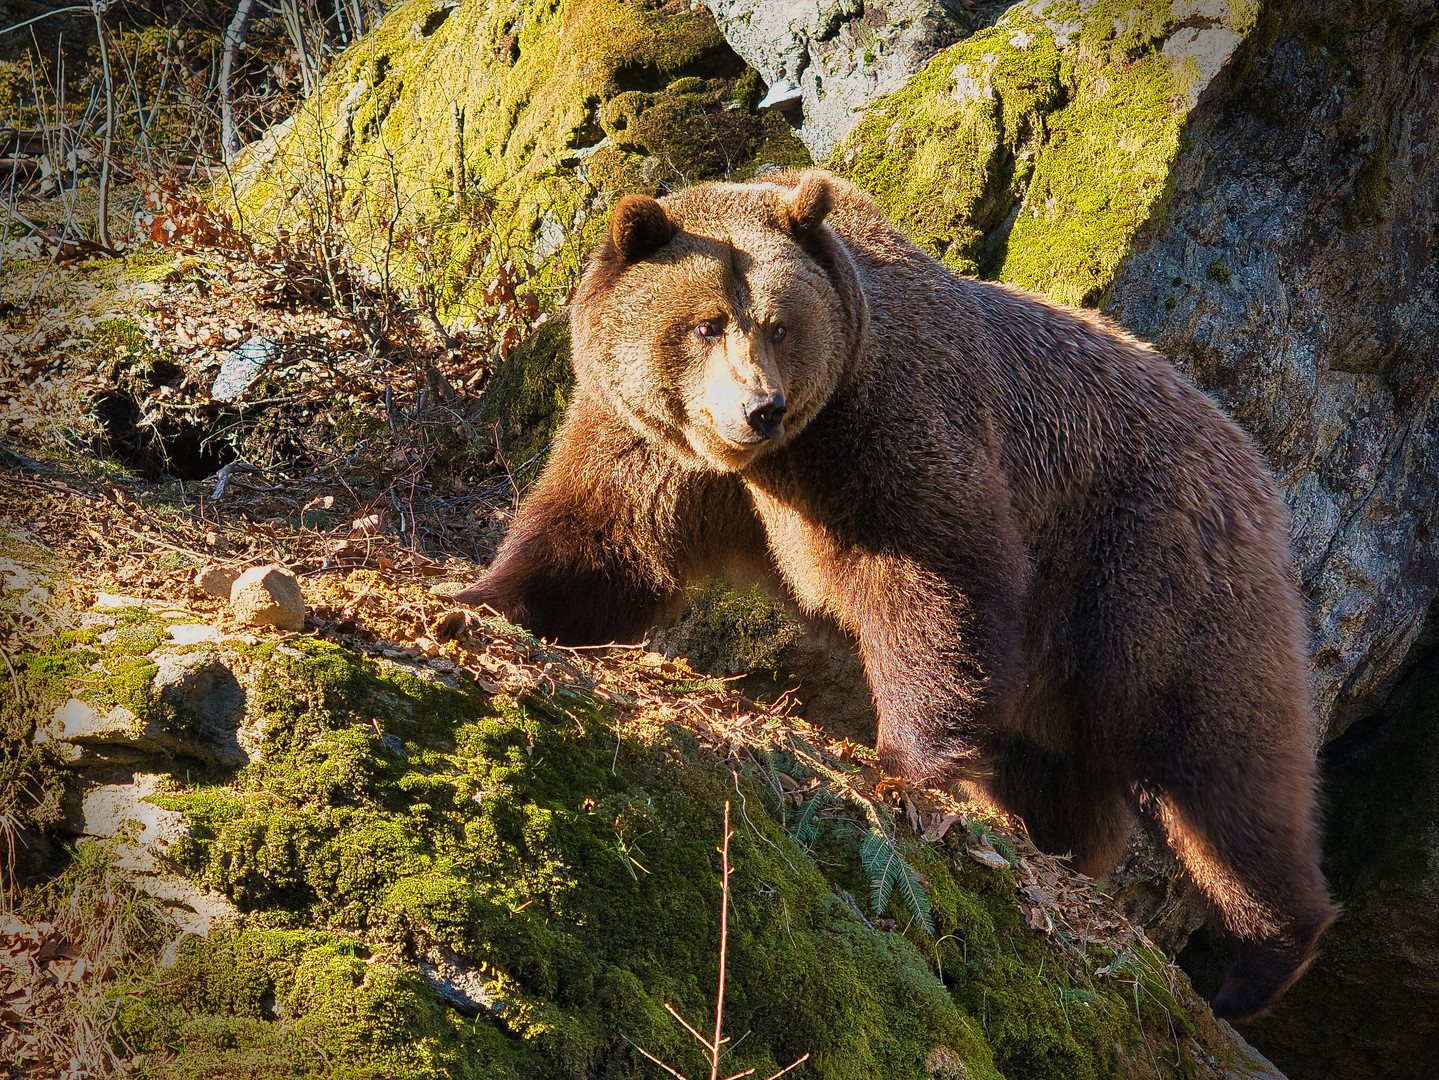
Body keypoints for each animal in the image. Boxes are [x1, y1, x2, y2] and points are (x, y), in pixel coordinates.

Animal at [448, 168, 1335, 1023]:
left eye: (778, 323)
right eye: (704, 323)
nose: (760, 408)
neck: (771, 461)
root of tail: (1249, 455)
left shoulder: (888, 423)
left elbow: (936, 578)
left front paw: (901, 764)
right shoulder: (655, 443)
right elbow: (602, 542)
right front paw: (480, 596)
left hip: (1147, 560)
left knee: (1213, 757)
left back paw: (1260, 961)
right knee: (1059, 771)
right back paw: (1056, 849)